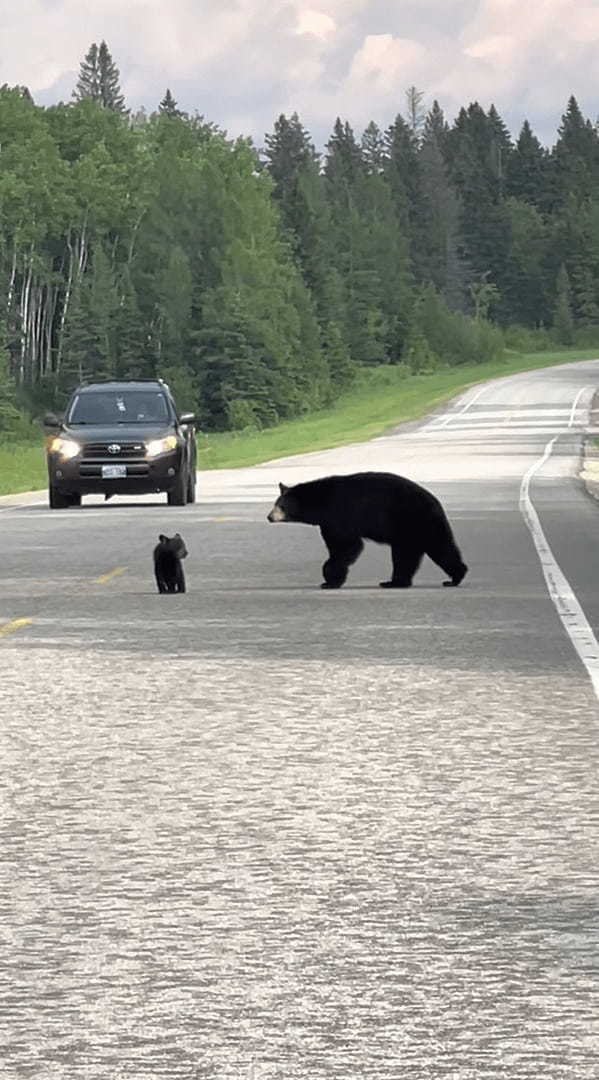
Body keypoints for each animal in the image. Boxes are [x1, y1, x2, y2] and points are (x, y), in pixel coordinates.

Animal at [267, 473, 468, 591]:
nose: (269, 516)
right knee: (411, 555)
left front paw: (329, 580)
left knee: (436, 547)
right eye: (275, 504)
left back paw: (454, 578)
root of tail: (435, 501)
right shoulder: (328, 522)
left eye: (281, 506)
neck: (320, 503)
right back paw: (397, 582)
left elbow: (346, 545)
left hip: (415, 520)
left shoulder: (339, 515)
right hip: (410, 530)